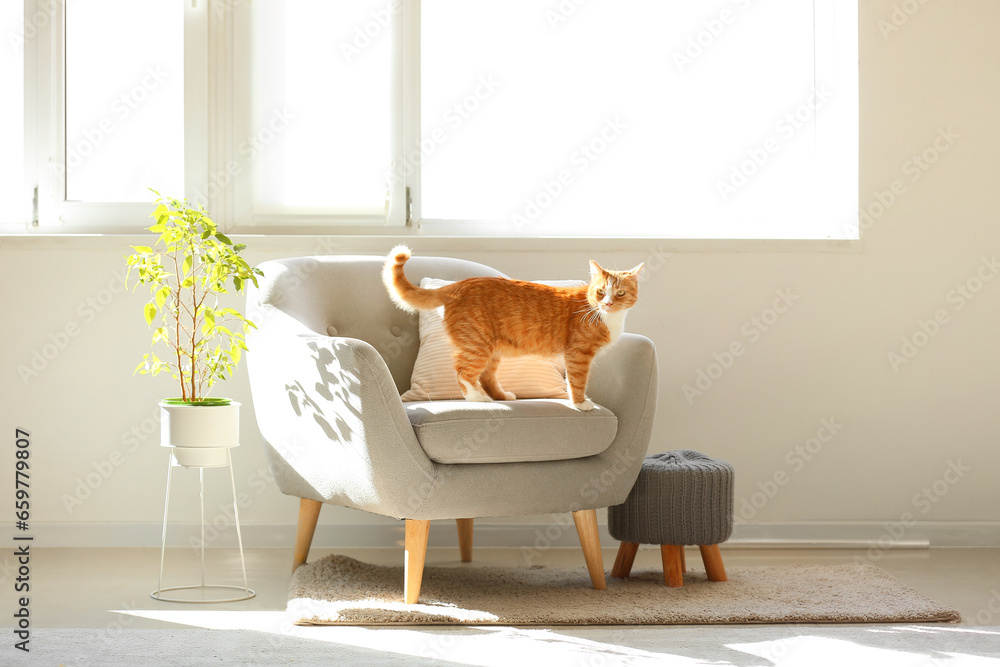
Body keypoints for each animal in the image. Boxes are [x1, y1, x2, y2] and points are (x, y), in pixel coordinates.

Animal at [378, 248, 644, 410]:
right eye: (600, 291)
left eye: (620, 293)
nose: (608, 303)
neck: (603, 314)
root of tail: (460, 284)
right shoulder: (578, 355)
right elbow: (577, 382)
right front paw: (580, 403)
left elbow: (571, 382)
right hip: (477, 345)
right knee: (463, 372)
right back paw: (477, 398)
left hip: (492, 349)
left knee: (486, 376)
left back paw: (501, 396)